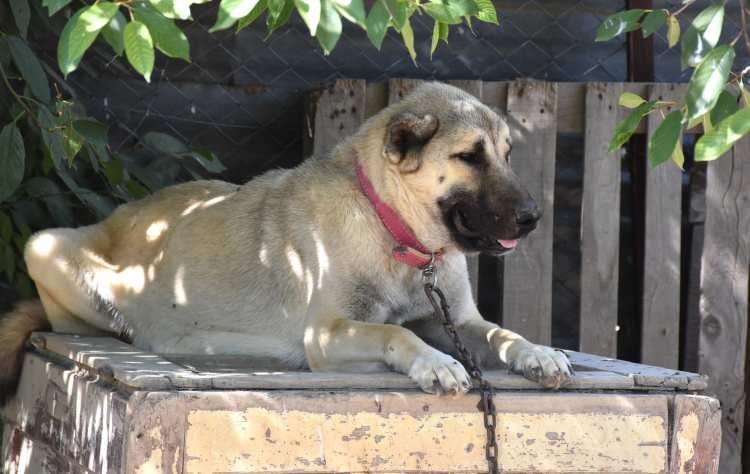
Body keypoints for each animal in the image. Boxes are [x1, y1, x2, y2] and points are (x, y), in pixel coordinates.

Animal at [0, 82, 572, 400]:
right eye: (469, 157)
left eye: (507, 154)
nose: (533, 217)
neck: (390, 225)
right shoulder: (327, 333)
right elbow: (396, 333)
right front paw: (433, 362)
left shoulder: (458, 321)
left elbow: (502, 333)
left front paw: (538, 352)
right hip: (44, 247)